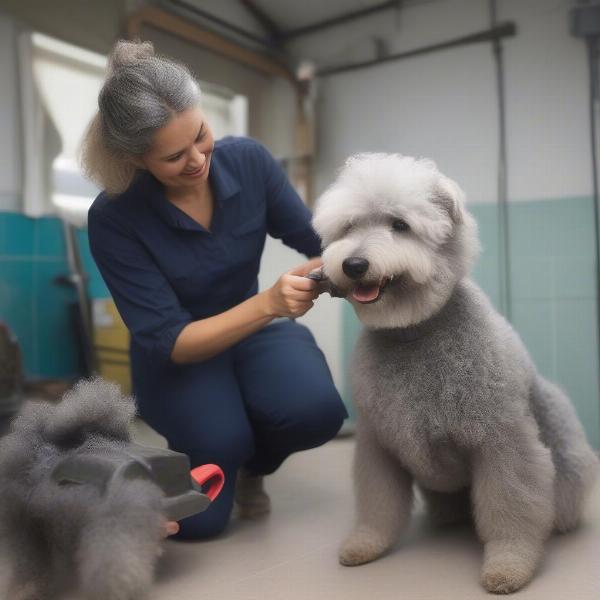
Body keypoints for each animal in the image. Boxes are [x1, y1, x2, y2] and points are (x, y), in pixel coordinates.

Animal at [312, 152, 596, 592]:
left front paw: (508, 566)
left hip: (560, 436)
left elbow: (512, 508)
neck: (413, 333)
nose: (354, 264)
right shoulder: (377, 444)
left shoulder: (504, 443)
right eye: (349, 226)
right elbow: (377, 503)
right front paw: (365, 543)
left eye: (400, 225)